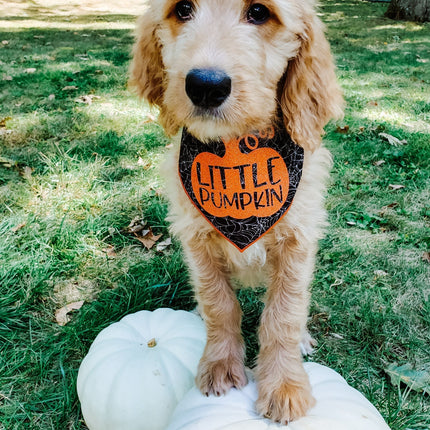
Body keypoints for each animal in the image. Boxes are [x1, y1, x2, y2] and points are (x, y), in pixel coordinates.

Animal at [129, 0, 344, 424]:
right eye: (182, 9)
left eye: (259, 12)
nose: (205, 85)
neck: (233, 147)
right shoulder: (197, 241)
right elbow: (219, 304)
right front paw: (220, 365)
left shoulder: (297, 242)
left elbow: (284, 314)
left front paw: (284, 385)